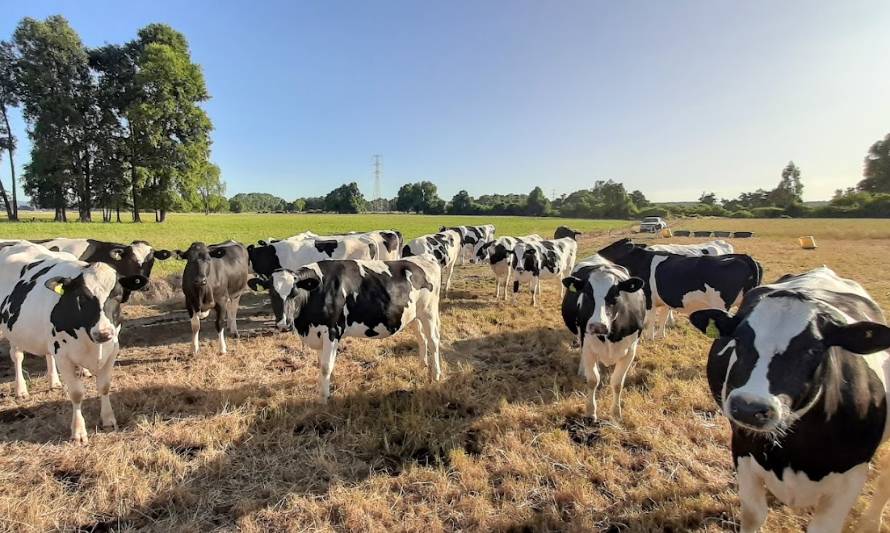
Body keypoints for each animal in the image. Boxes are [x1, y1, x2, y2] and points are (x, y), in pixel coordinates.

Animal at [0, 241, 146, 440]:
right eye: (82, 297)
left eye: (117, 295)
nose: (103, 333)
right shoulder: (64, 357)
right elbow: (76, 394)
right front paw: (78, 431)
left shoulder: (111, 351)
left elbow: (104, 386)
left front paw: (108, 420)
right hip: (13, 331)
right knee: (17, 356)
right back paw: (21, 390)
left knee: (47, 354)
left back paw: (54, 382)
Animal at [246, 256, 440, 402]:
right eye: (272, 293)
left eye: (294, 292)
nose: (283, 324)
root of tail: (423, 258)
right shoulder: (318, 334)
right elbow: (323, 365)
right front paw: (328, 387)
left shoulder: (332, 331)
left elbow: (325, 367)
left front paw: (324, 399)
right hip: (413, 315)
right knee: (421, 338)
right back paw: (423, 365)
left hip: (429, 311)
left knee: (433, 341)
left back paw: (436, 376)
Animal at [560, 255, 644, 420]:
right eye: (586, 294)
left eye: (616, 295)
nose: (597, 325)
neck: (610, 336)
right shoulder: (588, 346)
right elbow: (593, 380)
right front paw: (590, 412)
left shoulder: (630, 351)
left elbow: (617, 383)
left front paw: (616, 414)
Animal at [596, 239, 756, 338]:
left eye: (615, 246)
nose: (598, 251)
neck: (643, 261)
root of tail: (743, 257)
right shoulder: (666, 299)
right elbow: (663, 317)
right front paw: (660, 336)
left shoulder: (650, 299)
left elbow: (651, 319)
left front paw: (649, 337)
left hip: (720, 306)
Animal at [688, 266, 888, 532]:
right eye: (738, 340)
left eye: (813, 350)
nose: (749, 408)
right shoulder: (742, 449)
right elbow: (753, 514)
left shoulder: (851, 475)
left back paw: (872, 522)